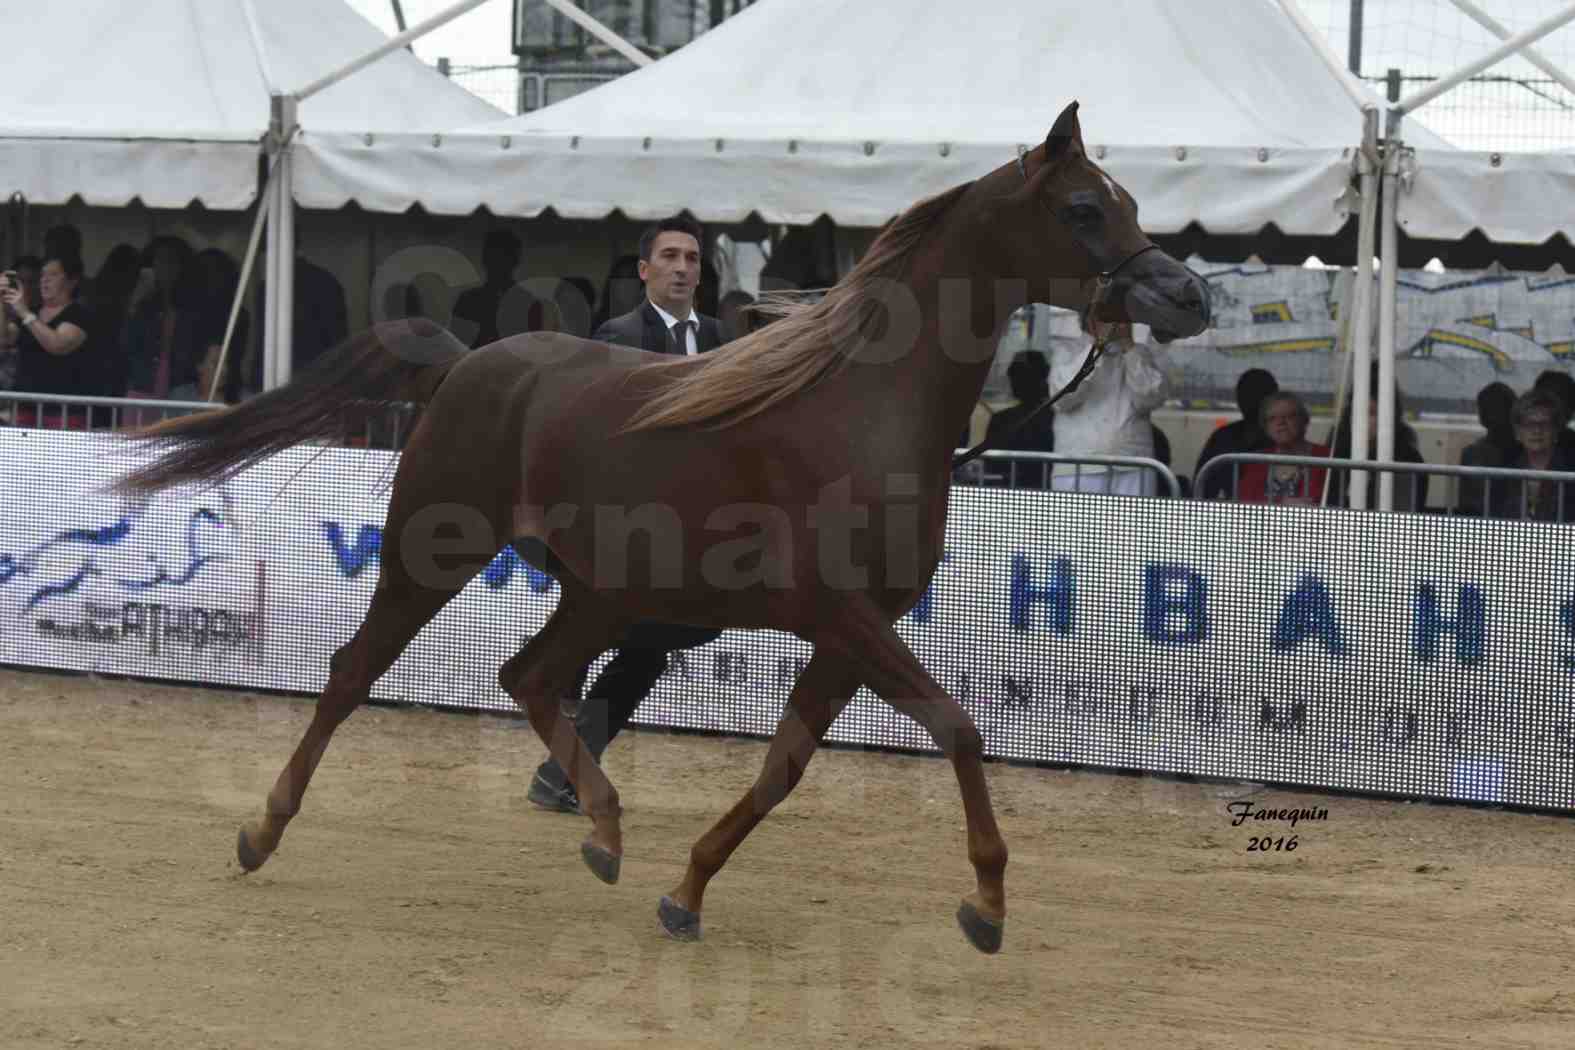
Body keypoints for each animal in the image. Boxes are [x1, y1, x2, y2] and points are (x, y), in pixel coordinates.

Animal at [119, 104, 1203, 950]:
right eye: (1083, 207)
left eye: (1129, 202)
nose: (1185, 295)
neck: (860, 408)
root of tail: (464, 363)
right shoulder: (840, 615)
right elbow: (960, 729)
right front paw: (986, 903)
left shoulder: (849, 634)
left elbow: (784, 767)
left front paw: (685, 891)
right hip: (434, 553)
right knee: (354, 673)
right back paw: (261, 831)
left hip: (604, 593)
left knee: (530, 677)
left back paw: (603, 831)